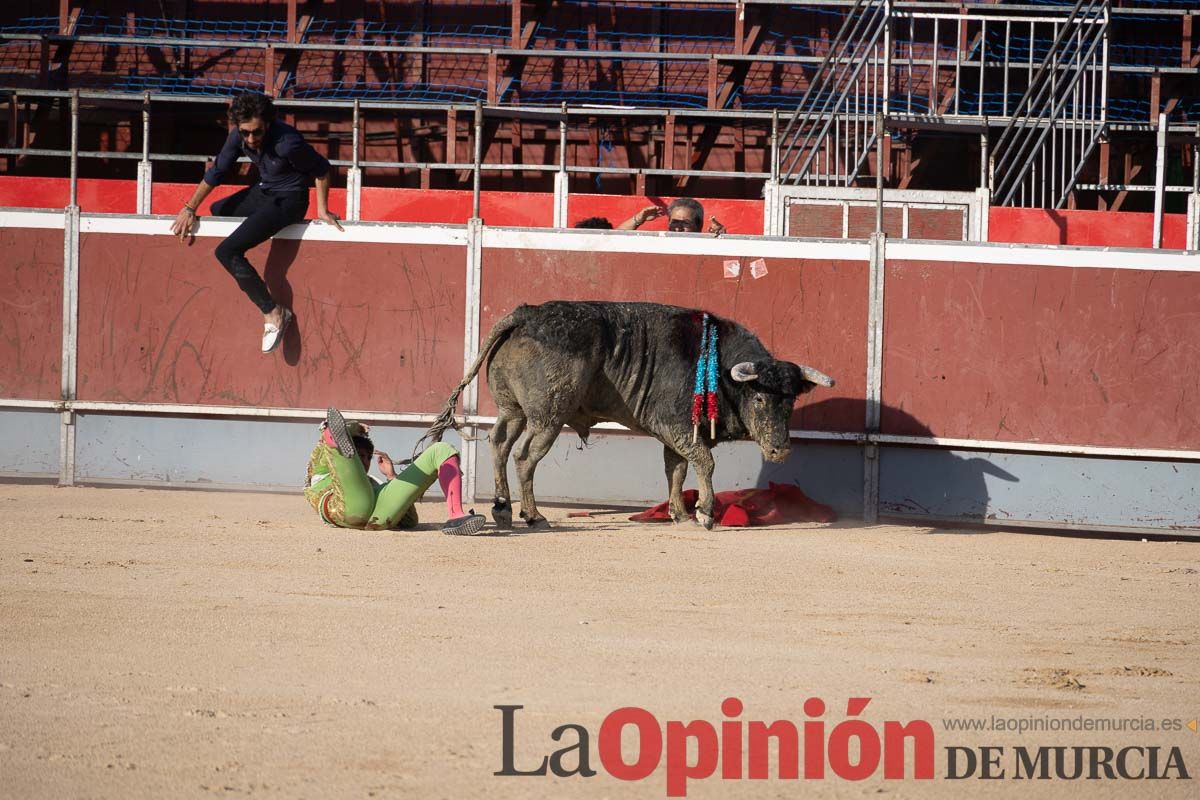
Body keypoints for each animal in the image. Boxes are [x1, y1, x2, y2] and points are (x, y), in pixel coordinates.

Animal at [422, 299, 835, 532]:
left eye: (790, 402)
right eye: (761, 399)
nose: (780, 449)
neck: (717, 366)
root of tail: (525, 315)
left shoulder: (676, 436)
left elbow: (676, 470)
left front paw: (679, 513)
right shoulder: (677, 426)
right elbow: (704, 462)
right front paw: (704, 512)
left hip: (514, 410)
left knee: (500, 443)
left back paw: (504, 508)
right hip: (548, 418)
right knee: (525, 457)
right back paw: (533, 515)